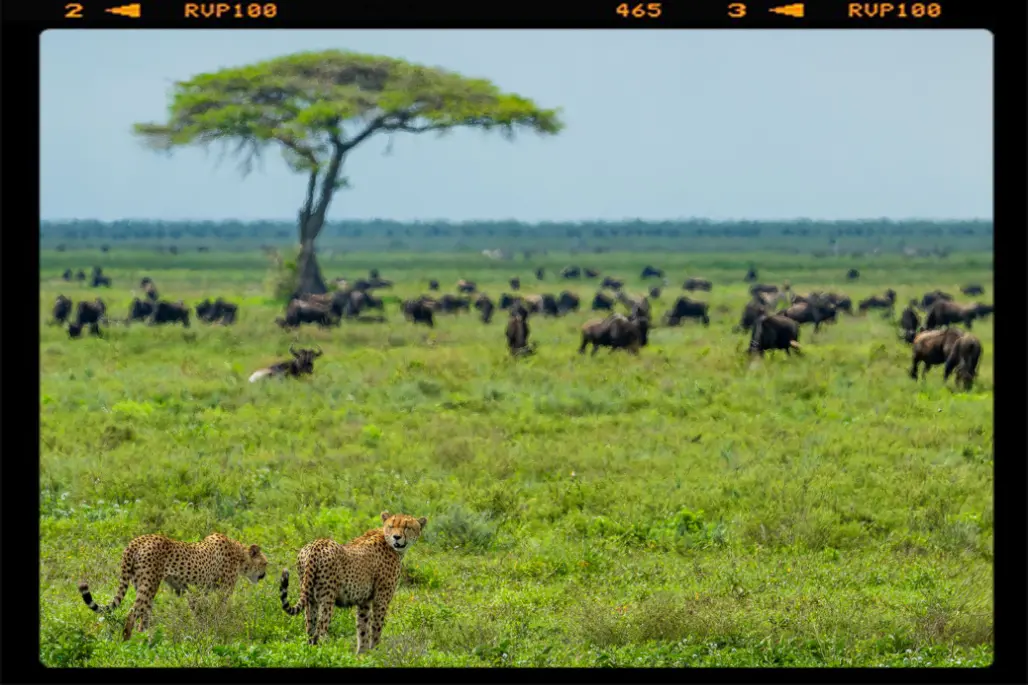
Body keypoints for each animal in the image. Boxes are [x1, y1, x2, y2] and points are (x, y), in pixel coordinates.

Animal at [77, 532, 268, 641]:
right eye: (265, 563)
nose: (265, 575)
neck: (239, 554)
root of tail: (138, 540)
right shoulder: (223, 591)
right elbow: (220, 612)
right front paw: (221, 628)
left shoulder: (197, 592)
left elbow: (201, 613)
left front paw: (203, 630)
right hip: (149, 584)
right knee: (132, 613)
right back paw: (127, 642)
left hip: (142, 585)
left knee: (144, 615)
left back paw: (145, 642)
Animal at [280, 511, 428, 651]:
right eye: (391, 526)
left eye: (407, 527)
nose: (396, 537)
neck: (387, 540)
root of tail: (316, 544)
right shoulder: (381, 599)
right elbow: (376, 628)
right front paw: (376, 651)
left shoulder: (364, 601)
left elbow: (363, 628)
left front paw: (362, 654)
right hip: (327, 599)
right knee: (321, 631)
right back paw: (327, 651)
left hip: (310, 597)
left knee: (310, 628)